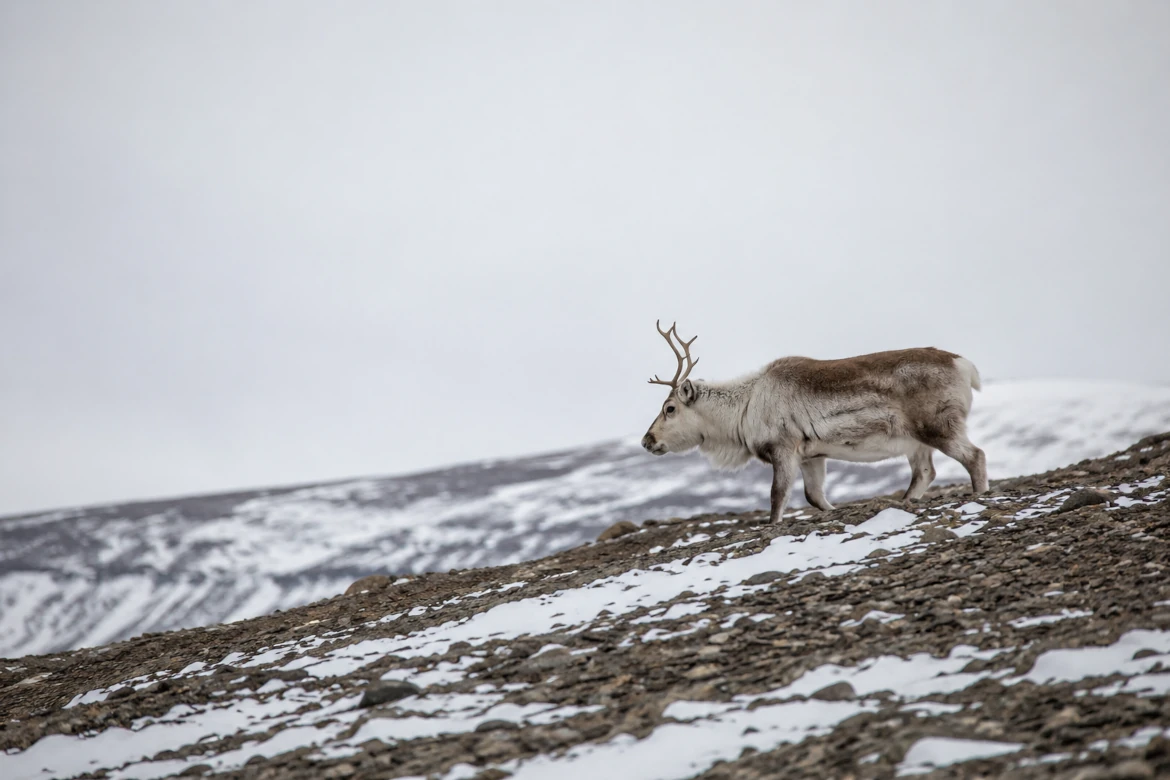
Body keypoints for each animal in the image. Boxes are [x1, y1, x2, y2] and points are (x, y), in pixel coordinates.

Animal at [640, 321, 988, 523]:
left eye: (669, 408)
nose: (647, 440)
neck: (743, 409)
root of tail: (965, 365)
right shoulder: (812, 455)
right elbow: (814, 496)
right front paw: (835, 512)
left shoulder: (783, 448)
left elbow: (777, 497)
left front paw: (774, 524)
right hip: (916, 442)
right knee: (924, 472)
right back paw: (905, 501)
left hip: (937, 425)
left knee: (975, 456)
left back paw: (978, 495)